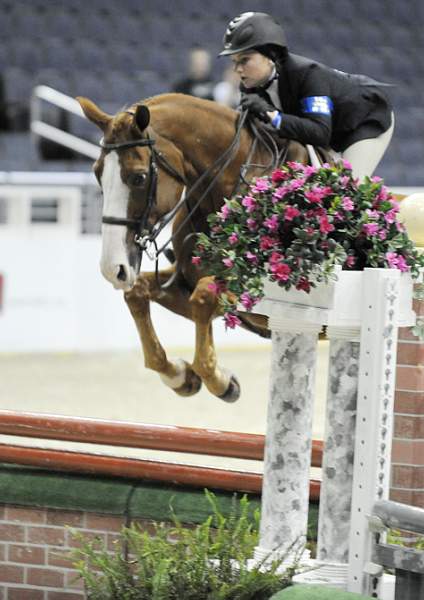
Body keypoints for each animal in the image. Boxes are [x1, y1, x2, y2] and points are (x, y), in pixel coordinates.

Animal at [77, 92, 308, 404]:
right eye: (97, 174)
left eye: (139, 177)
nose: (113, 269)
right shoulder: (183, 281)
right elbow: (138, 294)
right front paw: (181, 376)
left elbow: (204, 297)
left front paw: (220, 382)